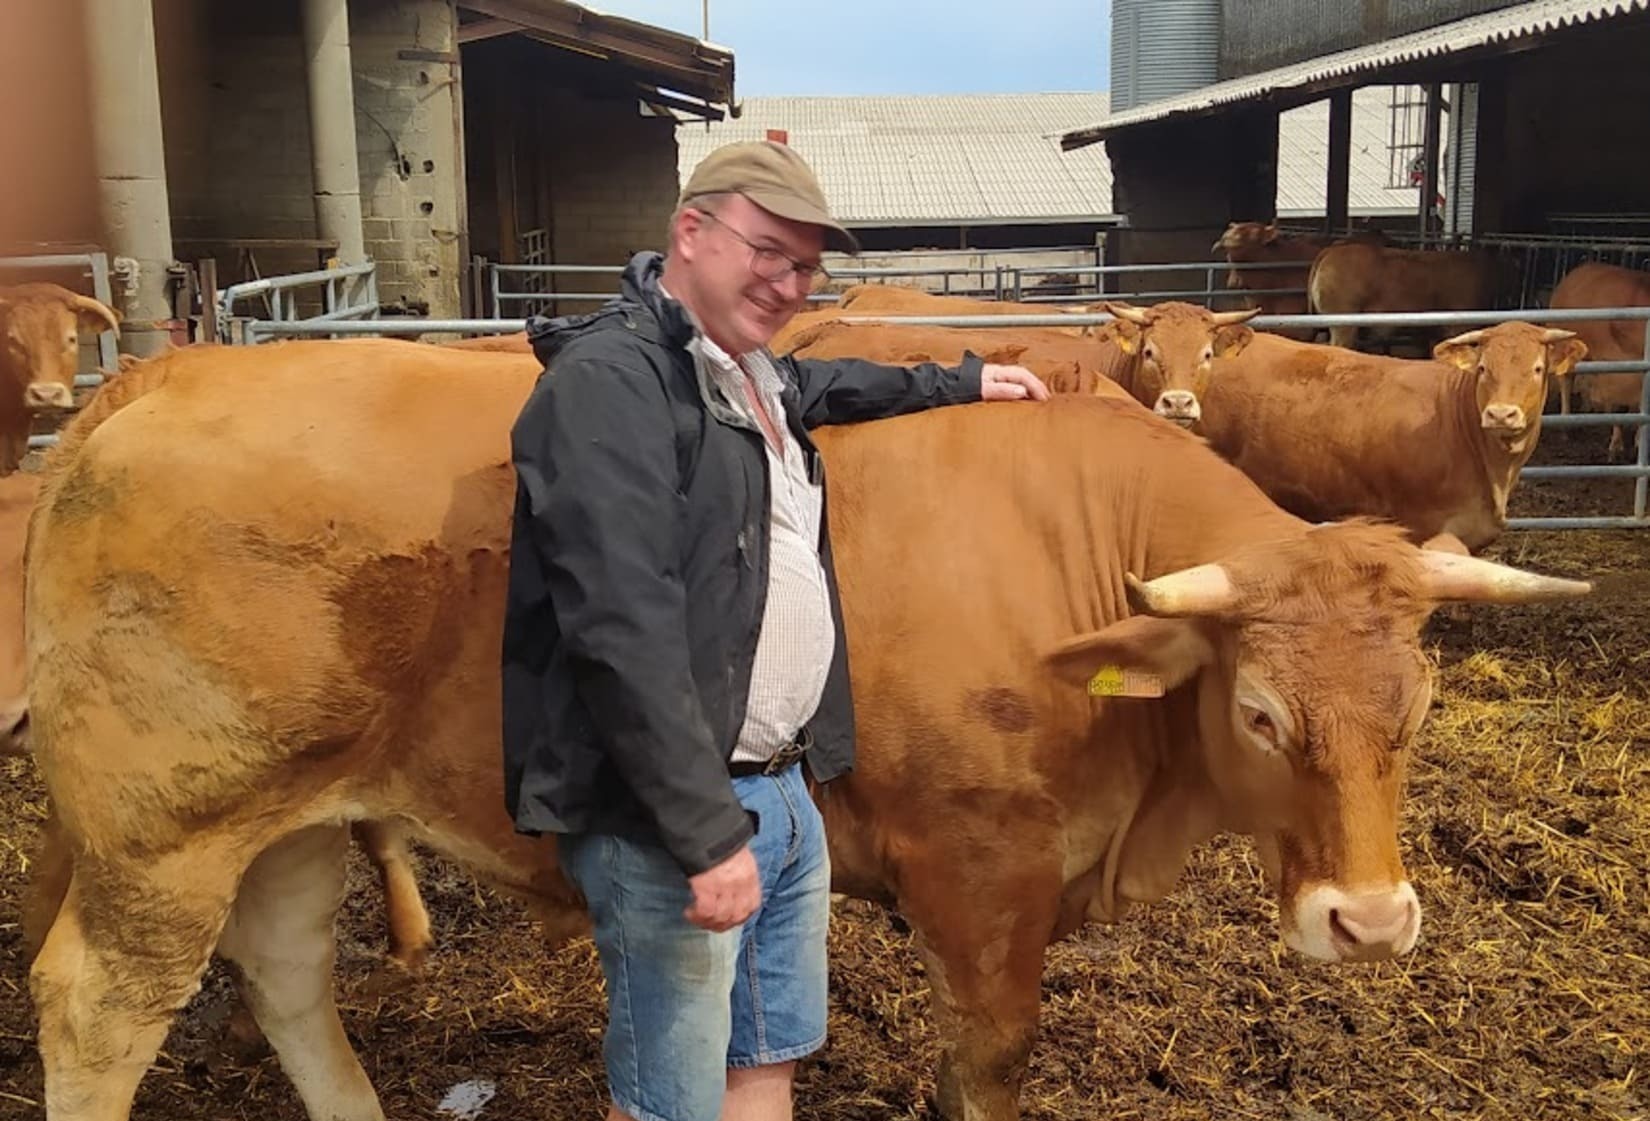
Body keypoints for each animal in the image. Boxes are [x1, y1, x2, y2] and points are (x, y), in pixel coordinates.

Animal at [1551, 260, 1643, 458]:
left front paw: (1639, 439)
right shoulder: (1611, 366)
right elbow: (1614, 404)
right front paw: (1616, 444)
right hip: (1564, 346)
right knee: (1566, 380)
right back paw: (1565, 425)